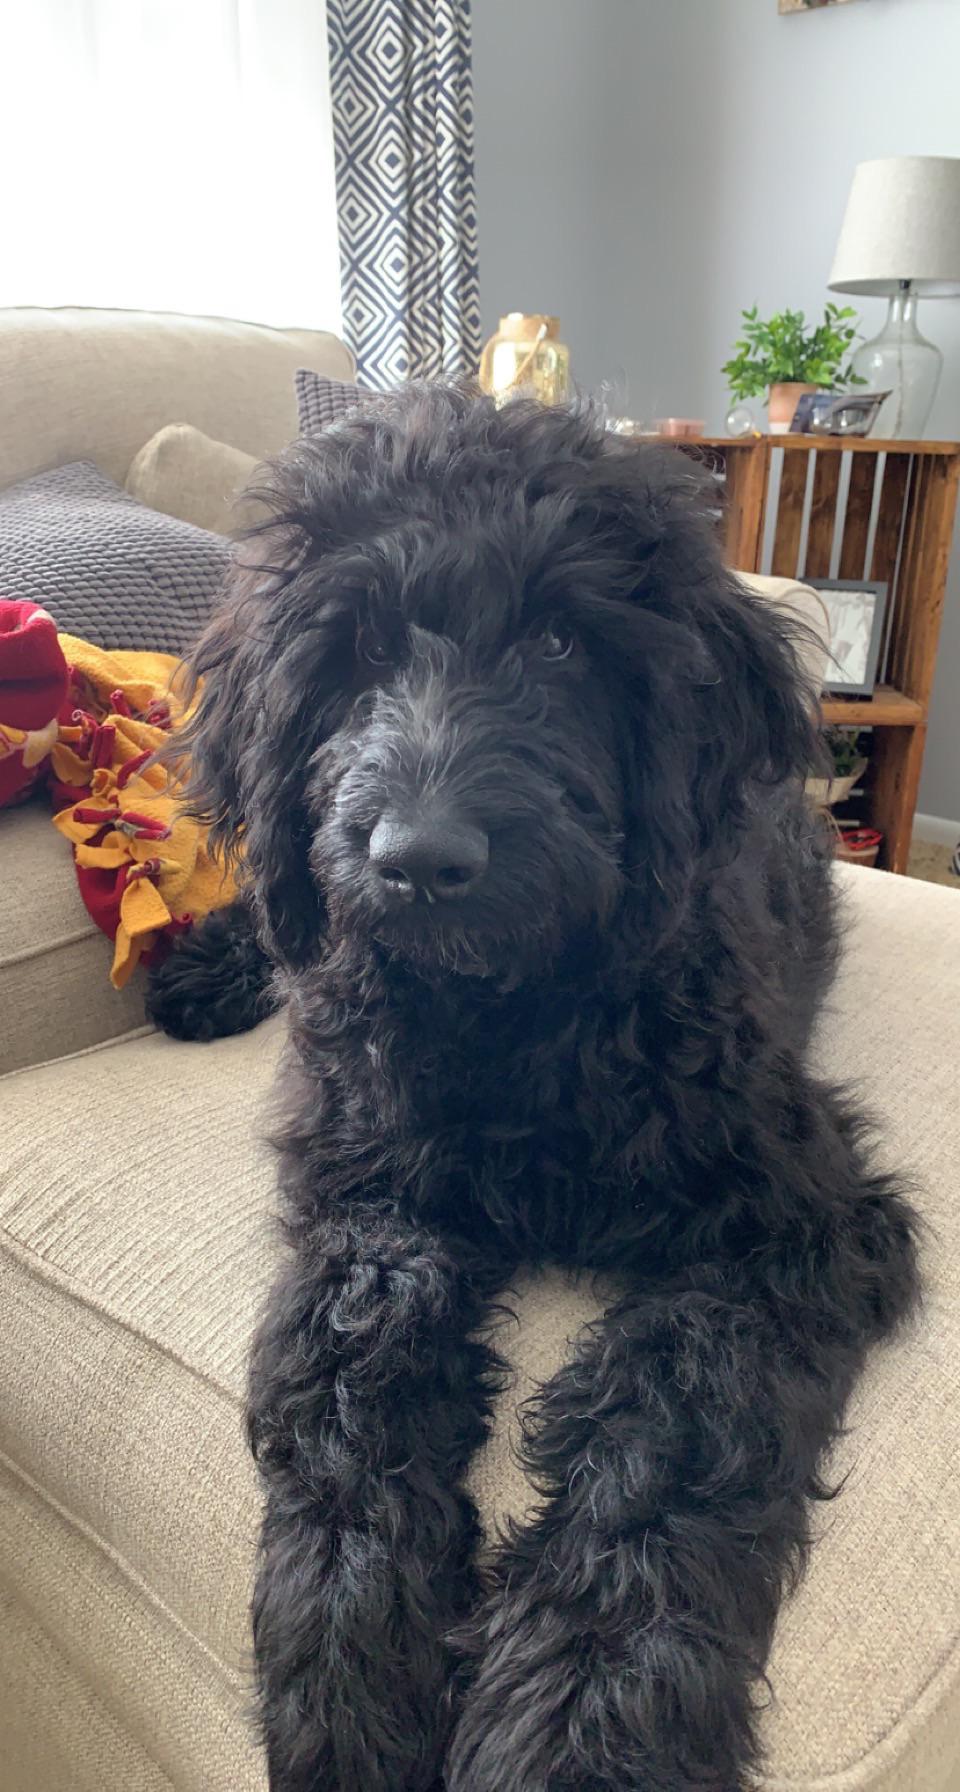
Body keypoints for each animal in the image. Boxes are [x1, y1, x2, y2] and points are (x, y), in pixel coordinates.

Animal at [155, 392, 913, 1792]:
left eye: (563, 639)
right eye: (359, 650)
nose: (420, 858)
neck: (510, 1014)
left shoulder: (803, 1227)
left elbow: (674, 1421)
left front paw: (582, 1722)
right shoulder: (369, 1195)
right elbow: (349, 1374)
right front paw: (349, 1681)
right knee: (284, 929)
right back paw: (208, 966)